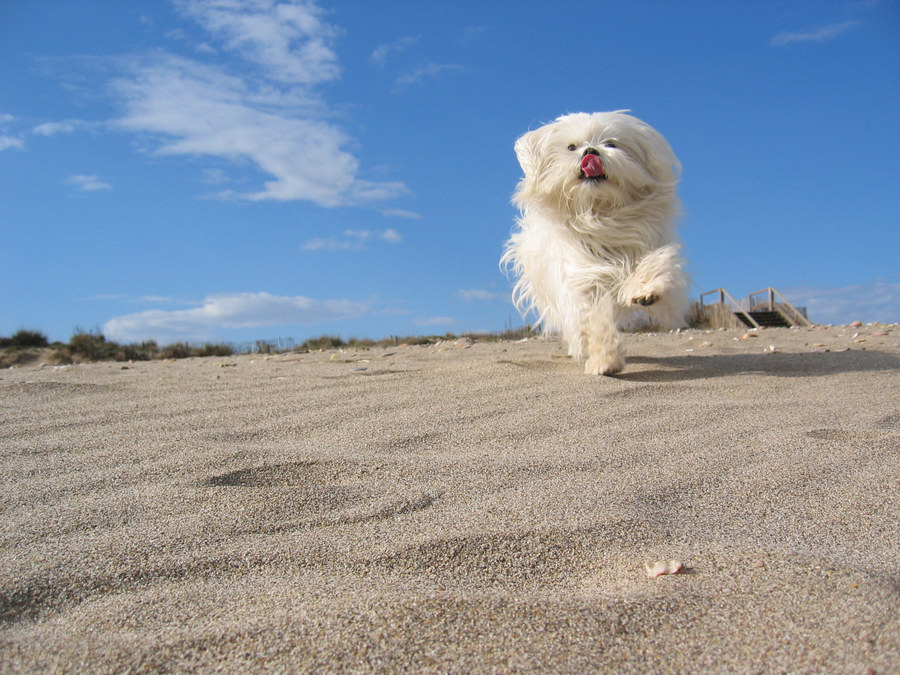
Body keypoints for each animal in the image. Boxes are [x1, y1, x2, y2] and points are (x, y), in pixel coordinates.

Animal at [500, 111, 688, 374]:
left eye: (611, 144)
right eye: (571, 147)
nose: (591, 151)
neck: (599, 213)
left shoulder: (649, 244)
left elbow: (656, 263)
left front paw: (647, 289)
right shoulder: (582, 279)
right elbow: (596, 320)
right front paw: (605, 360)